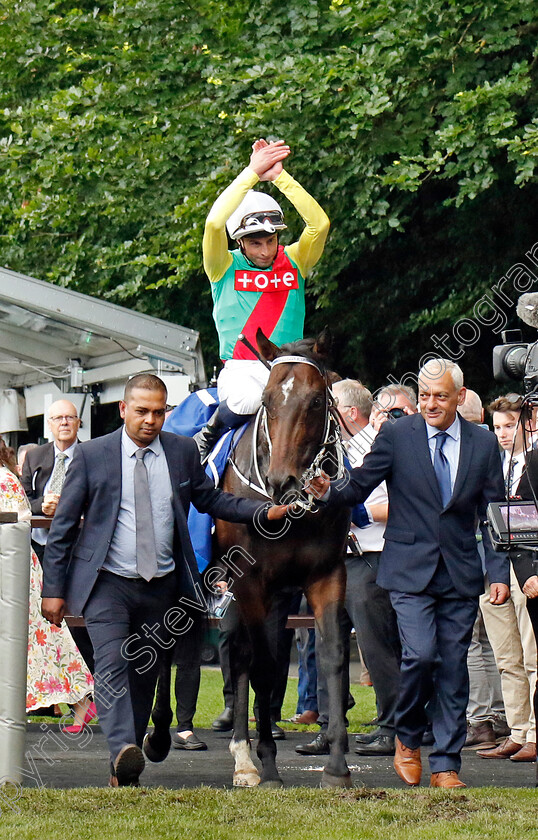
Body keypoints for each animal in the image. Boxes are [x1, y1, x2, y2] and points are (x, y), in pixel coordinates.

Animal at [144, 328, 350, 788]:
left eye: (316, 401)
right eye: (268, 401)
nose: (281, 481)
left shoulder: (324, 576)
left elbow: (330, 658)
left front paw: (337, 767)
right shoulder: (252, 581)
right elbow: (264, 666)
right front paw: (269, 765)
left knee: (237, 655)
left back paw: (242, 753)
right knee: (177, 647)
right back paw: (165, 735)